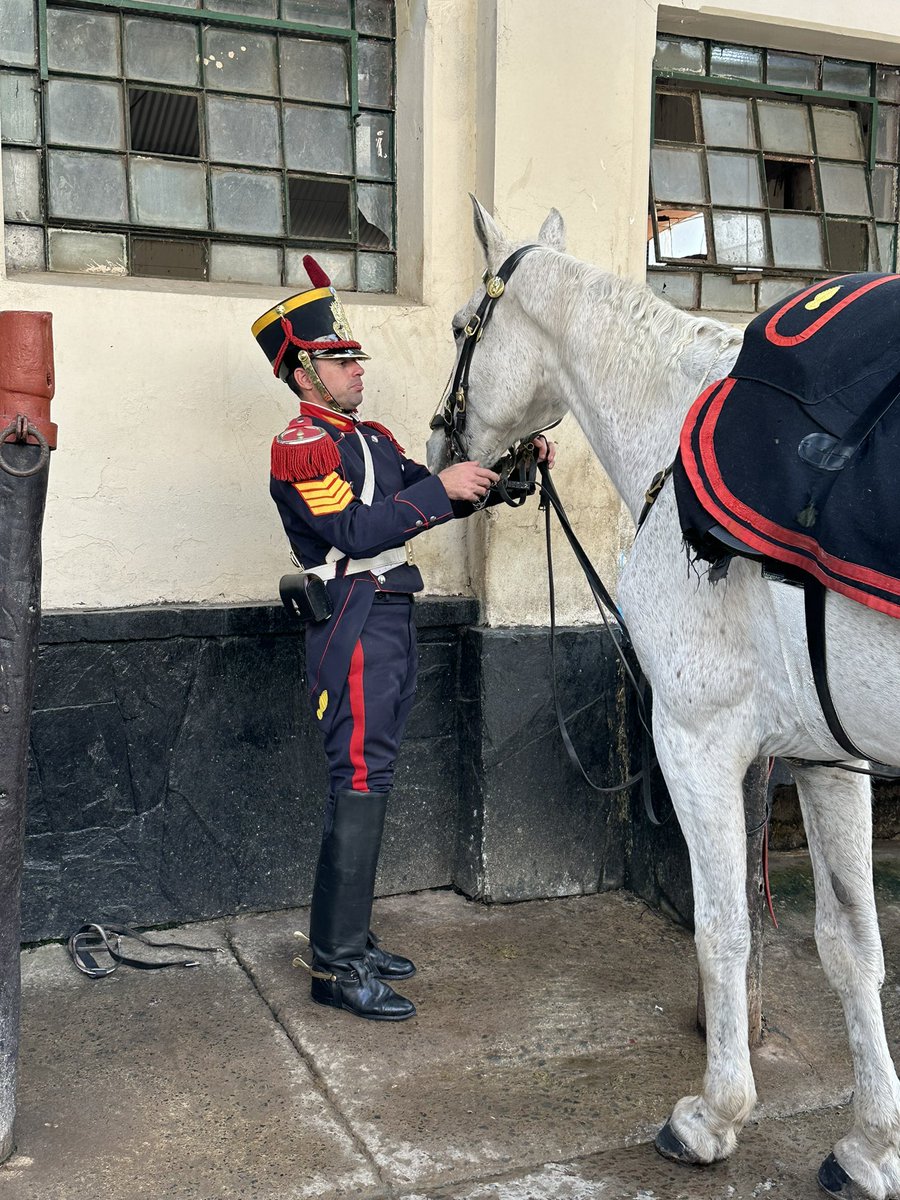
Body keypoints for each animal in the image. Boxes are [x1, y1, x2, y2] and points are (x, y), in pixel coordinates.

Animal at [426, 198, 900, 1200]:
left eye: (457, 328)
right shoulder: (827, 757)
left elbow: (723, 931)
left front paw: (714, 1116)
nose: (439, 450)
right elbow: (851, 945)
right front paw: (873, 1143)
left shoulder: (697, 740)